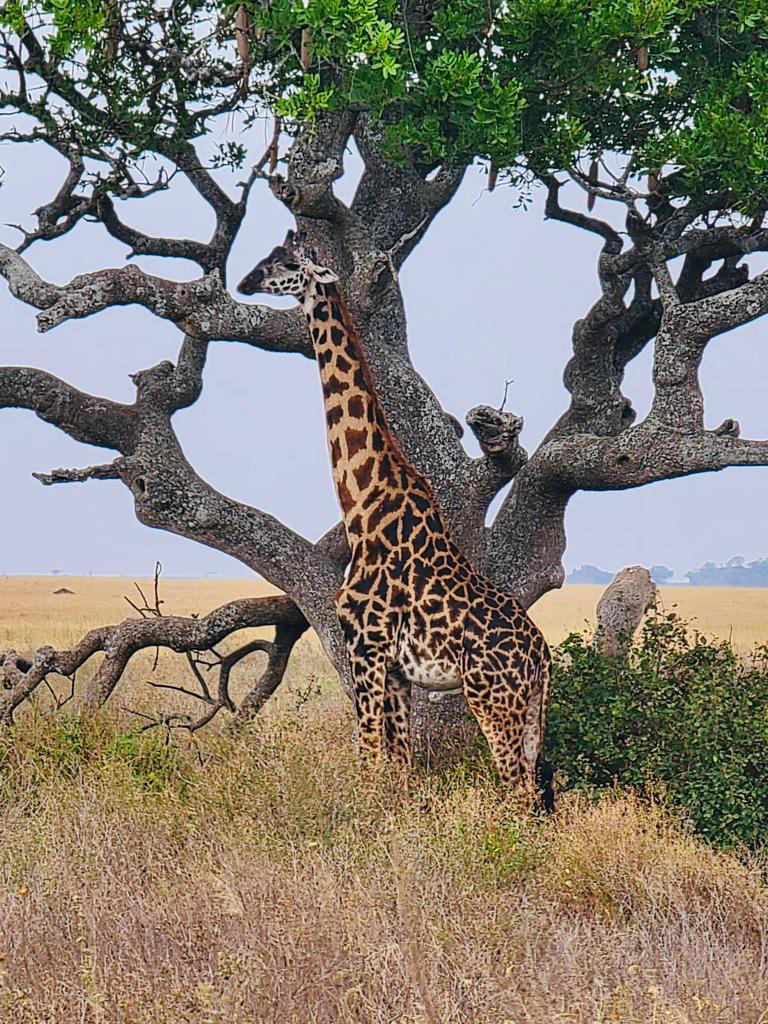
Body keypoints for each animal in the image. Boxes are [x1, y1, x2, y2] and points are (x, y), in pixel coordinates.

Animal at [238, 230, 554, 808]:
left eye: (286, 263)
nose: (246, 281)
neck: (363, 503)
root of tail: (543, 656)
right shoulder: (399, 672)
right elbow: (401, 768)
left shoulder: (365, 647)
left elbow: (368, 760)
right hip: (529, 712)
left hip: (493, 699)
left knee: (519, 793)